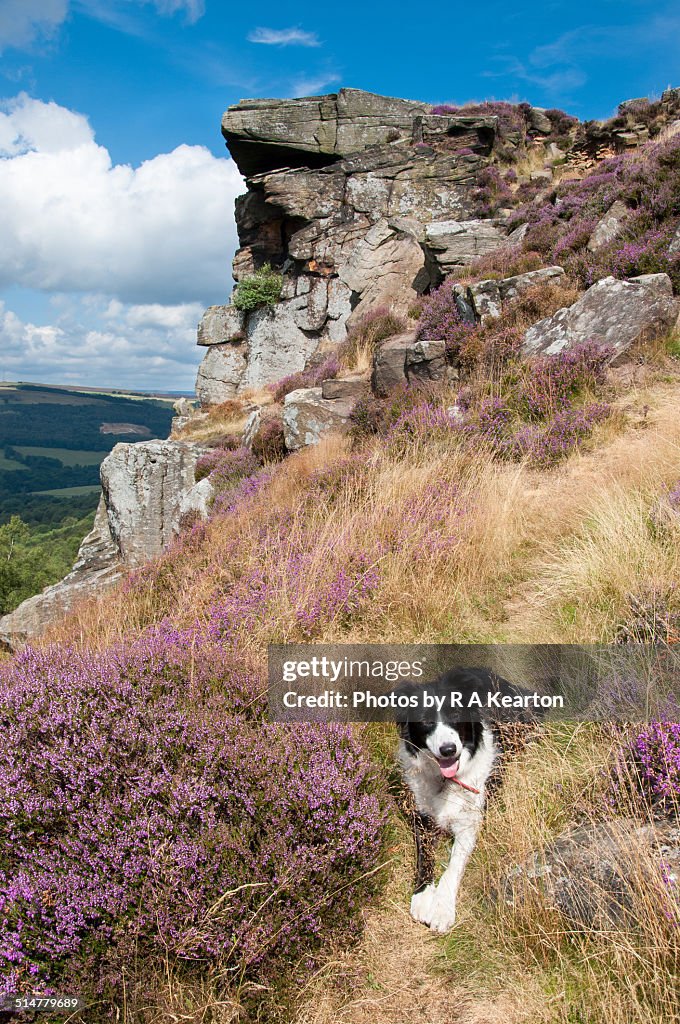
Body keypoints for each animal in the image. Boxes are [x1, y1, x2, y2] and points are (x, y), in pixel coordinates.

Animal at [395, 667, 532, 933]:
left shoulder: (470, 823)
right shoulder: (424, 817)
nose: (448, 749)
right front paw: (423, 897)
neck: (447, 781)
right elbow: (425, 857)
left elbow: (452, 868)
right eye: (426, 720)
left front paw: (442, 909)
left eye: (456, 714)